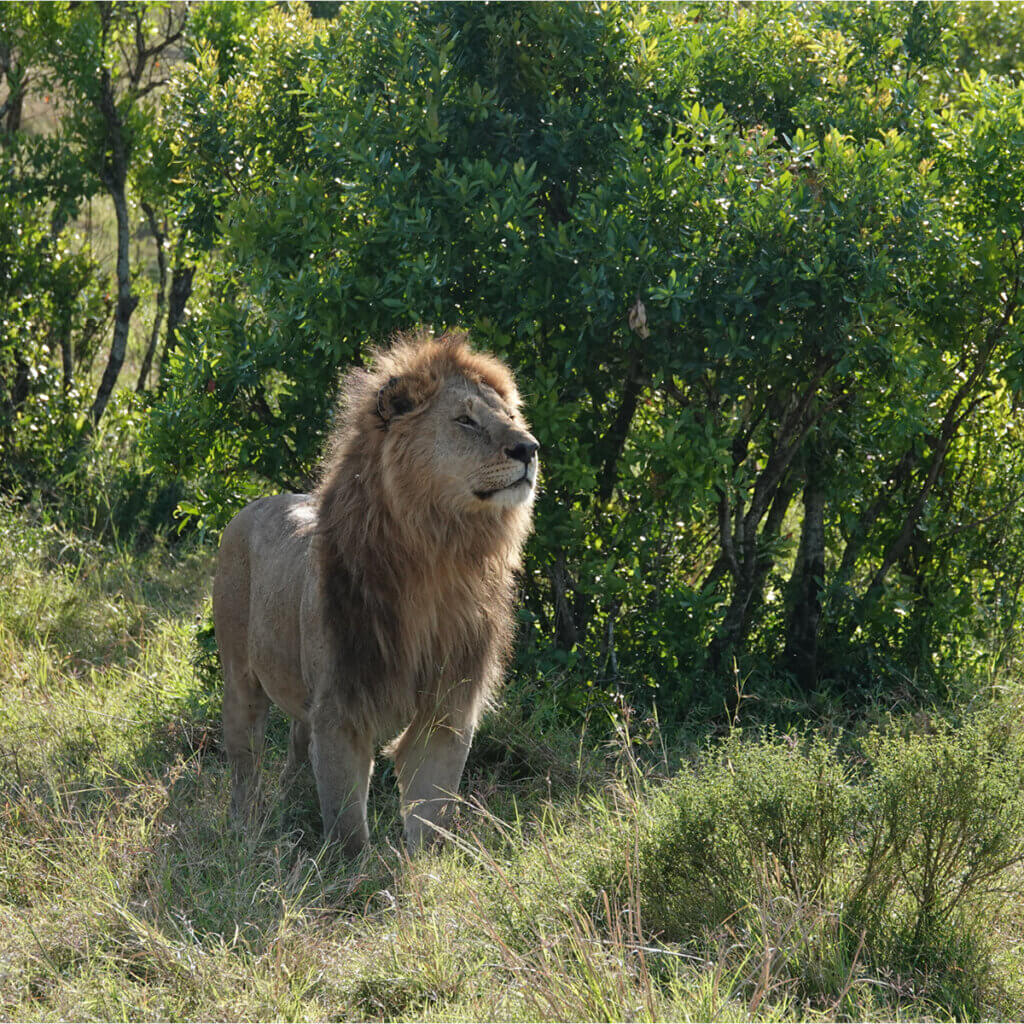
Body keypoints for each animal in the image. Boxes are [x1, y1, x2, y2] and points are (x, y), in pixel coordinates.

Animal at [212, 330, 539, 856]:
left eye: (510, 416)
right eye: (465, 420)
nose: (529, 448)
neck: (439, 555)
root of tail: (257, 502)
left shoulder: (448, 706)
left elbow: (432, 808)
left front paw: (426, 868)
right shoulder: (341, 707)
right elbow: (347, 819)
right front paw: (350, 872)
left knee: (296, 744)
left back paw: (292, 799)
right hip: (240, 675)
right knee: (245, 759)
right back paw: (246, 828)